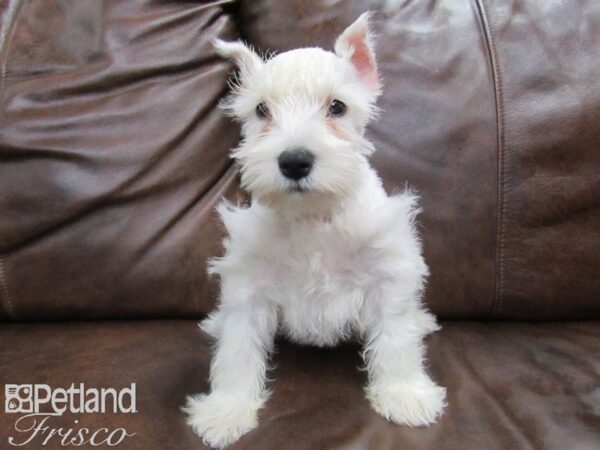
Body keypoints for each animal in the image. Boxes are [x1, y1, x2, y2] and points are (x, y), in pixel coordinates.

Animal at [183, 12, 446, 448]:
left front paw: (405, 394)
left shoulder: (387, 274)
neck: (313, 217)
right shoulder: (249, 285)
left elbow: (395, 339)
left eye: (337, 106)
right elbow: (238, 349)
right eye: (261, 110)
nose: (294, 161)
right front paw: (227, 410)